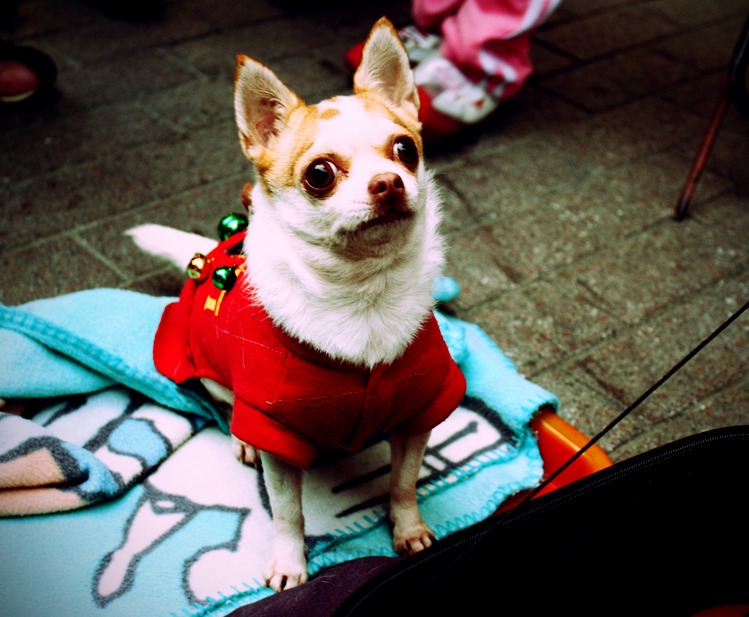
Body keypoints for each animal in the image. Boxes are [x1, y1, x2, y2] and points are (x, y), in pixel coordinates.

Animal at [130, 16, 468, 588]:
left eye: (406, 150)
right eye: (320, 174)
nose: (389, 182)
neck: (363, 293)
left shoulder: (420, 409)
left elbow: (403, 482)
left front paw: (409, 530)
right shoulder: (277, 432)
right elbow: (288, 512)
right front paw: (289, 563)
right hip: (207, 369)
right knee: (227, 408)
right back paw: (242, 442)